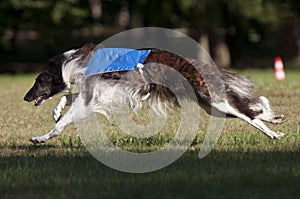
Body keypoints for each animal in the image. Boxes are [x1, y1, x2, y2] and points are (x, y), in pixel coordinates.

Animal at [23, 43, 286, 143]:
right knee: (251, 110)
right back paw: (275, 122)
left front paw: (41, 138)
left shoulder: (95, 95)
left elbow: (64, 119)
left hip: (215, 102)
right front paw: (56, 112)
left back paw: (273, 133)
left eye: (39, 80)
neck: (73, 64)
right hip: (211, 106)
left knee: (249, 114)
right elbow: (66, 98)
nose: (26, 97)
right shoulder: (96, 94)